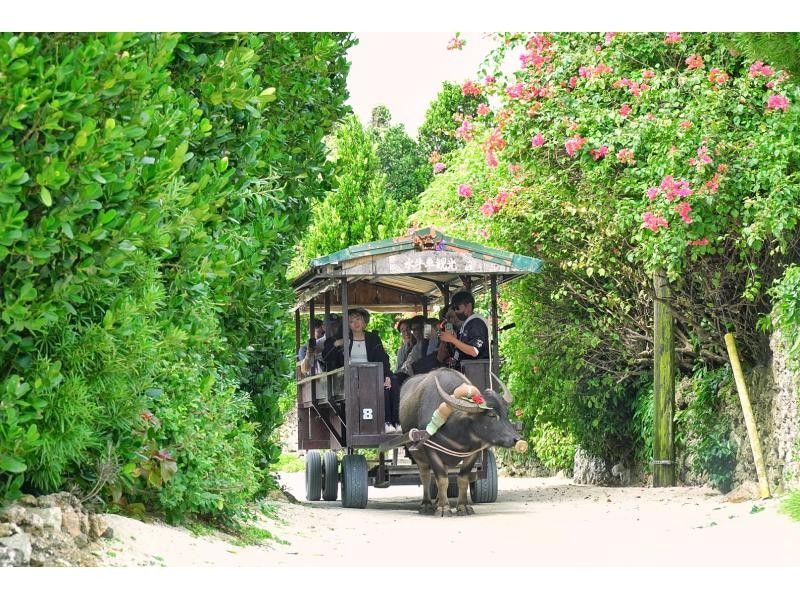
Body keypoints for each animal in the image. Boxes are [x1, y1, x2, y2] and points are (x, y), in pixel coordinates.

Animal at [398, 368, 524, 516]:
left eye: (506, 413)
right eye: (491, 415)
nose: (517, 439)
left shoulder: (474, 452)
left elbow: (462, 479)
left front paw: (463, 506)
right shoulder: (431, 450)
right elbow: (442, 479)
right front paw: (443, 508)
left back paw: (437, 501)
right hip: (418, 455)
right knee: (425, 476)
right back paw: (427, 504)